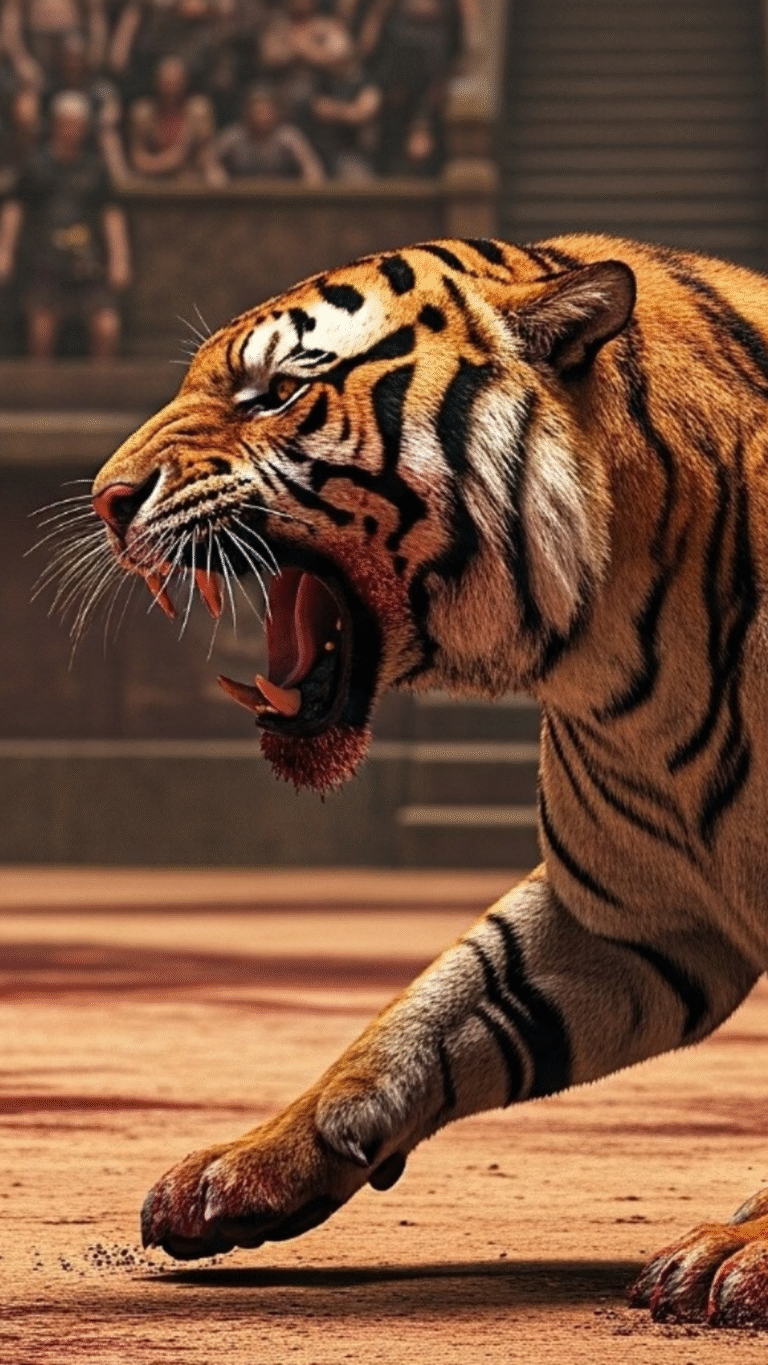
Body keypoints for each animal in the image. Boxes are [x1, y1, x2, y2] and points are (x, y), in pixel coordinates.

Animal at [86, 231, 768, 1327]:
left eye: (279, 391)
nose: (106, 499)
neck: (616, 654)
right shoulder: (630, 915)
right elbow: (430, 1010)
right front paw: (240, 1168)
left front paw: (738, 1257)